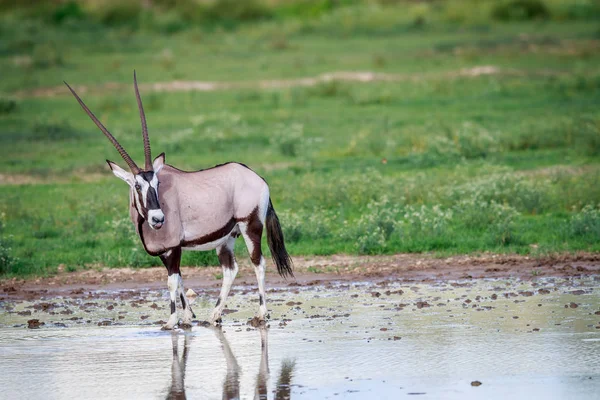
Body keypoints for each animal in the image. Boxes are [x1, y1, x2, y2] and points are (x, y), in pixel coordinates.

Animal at [64, 73, 294, 330]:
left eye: (157, 183)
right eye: (137, 186)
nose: (158, 218)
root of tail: (259, 178)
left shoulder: (173, 247)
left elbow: (172, 282)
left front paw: (171, 320)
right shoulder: (164, 252)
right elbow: (180, 279)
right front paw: (187, 317)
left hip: (250, 226)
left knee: (258, 263)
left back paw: (261, 314)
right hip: (228, 236)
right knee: (230, 269)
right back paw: (214, 315)